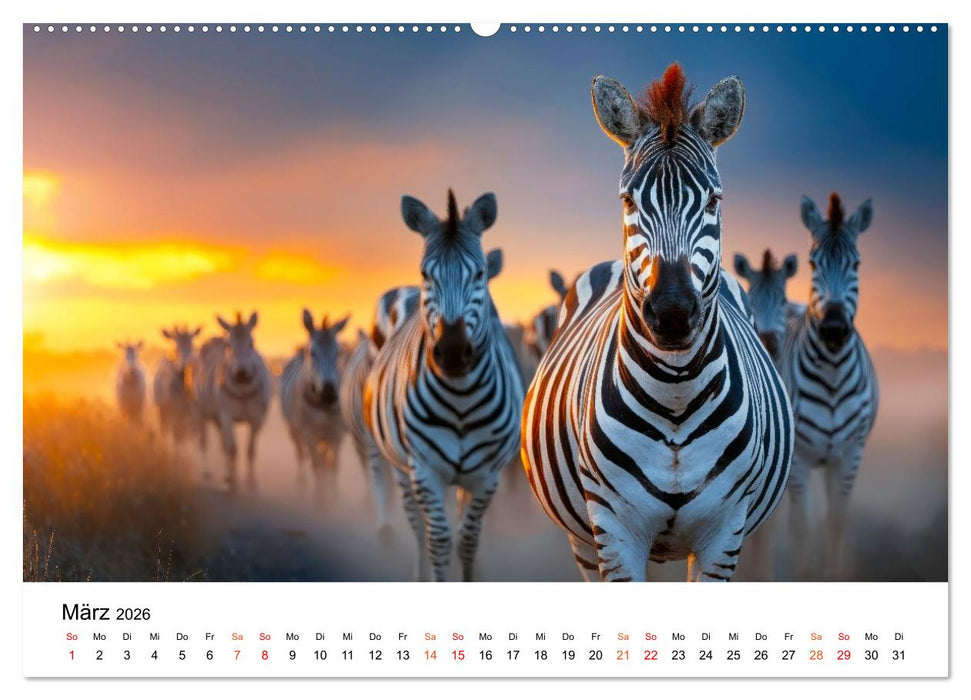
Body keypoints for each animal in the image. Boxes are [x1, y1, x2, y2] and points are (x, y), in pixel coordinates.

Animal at [190, 311, 272, 488]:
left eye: (252, 343)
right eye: (228, 346)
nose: (241, 374)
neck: (243, 390)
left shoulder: (257, 418)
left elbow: (250, 450)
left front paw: (251, 481)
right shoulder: (226, 415)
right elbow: (233, 449)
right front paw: (232, 482)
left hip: (216, 418)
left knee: (222, 444)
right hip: (200, 411)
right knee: (204, 441)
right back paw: (210, 473)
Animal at [279, 310, 349, 494]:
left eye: (339, 352)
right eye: (312, 353)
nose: (329, 394)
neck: (323, 406)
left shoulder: (337, 433)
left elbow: (332, 466)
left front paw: (334, 494)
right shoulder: (309, 433)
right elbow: (318, 467)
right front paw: (321, 497)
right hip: (293, 429)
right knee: (300, 455)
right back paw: (302, 483)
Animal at [365, 190, 525, 581]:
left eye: (480, 273)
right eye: (425, 273)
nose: (452, 353)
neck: (461, 398)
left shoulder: (487, 474)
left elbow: (468, 540)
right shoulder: (426, 469)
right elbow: (438, 540)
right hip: (399, 463)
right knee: (417, 526)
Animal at [521, 63, 793, 582]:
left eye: (713, 201)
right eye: (628, 201)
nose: (671, 312)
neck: (675, 397)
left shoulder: (724, 534)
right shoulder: (613, 531)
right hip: (581, 538)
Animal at [781, 193, 879, 579]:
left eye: (857, 263)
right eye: (812, 263)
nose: (834, 328)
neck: (833, 376)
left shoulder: (851, 453)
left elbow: (836, 519)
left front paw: (833, 575)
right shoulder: (799, 460)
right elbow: (800, 525)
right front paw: (801, 574)